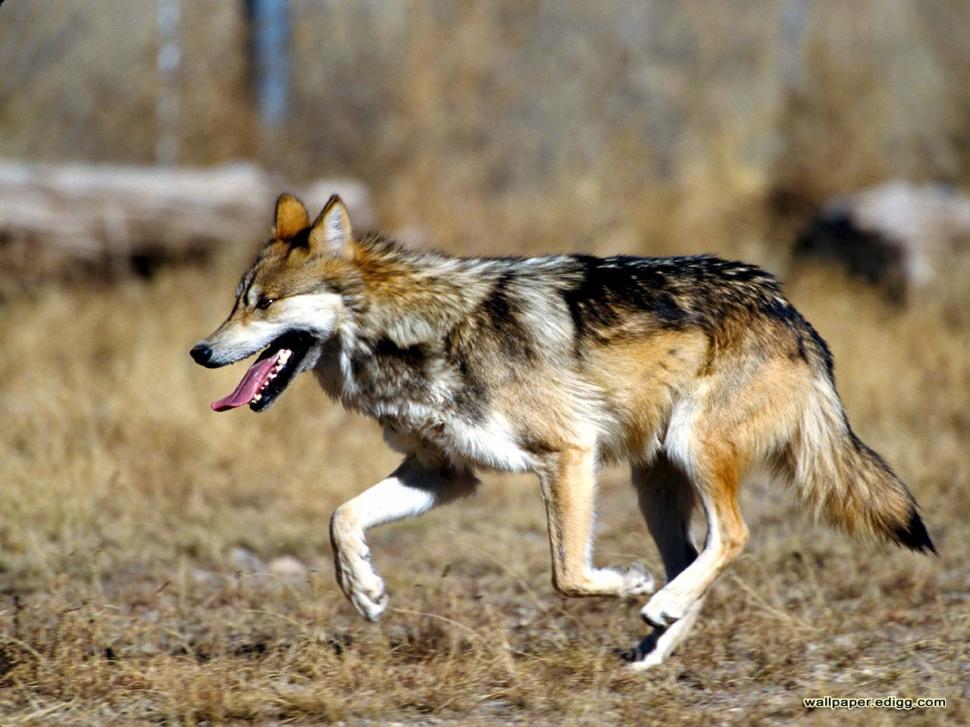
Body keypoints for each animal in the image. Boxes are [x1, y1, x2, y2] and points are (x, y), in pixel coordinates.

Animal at [190, 193, 935, 669]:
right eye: (235, 301)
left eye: (265, 303)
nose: (199, 351)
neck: (415, 333)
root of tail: (791, 311)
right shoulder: (444, 474)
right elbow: (341, 517)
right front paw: (365, 591)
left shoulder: (568, 455)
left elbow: (568, 575)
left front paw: (626, 583)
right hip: (654, 482)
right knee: (696, 556)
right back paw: (654, 644)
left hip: (691, 452)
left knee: (732, 537)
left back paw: (655, 604)